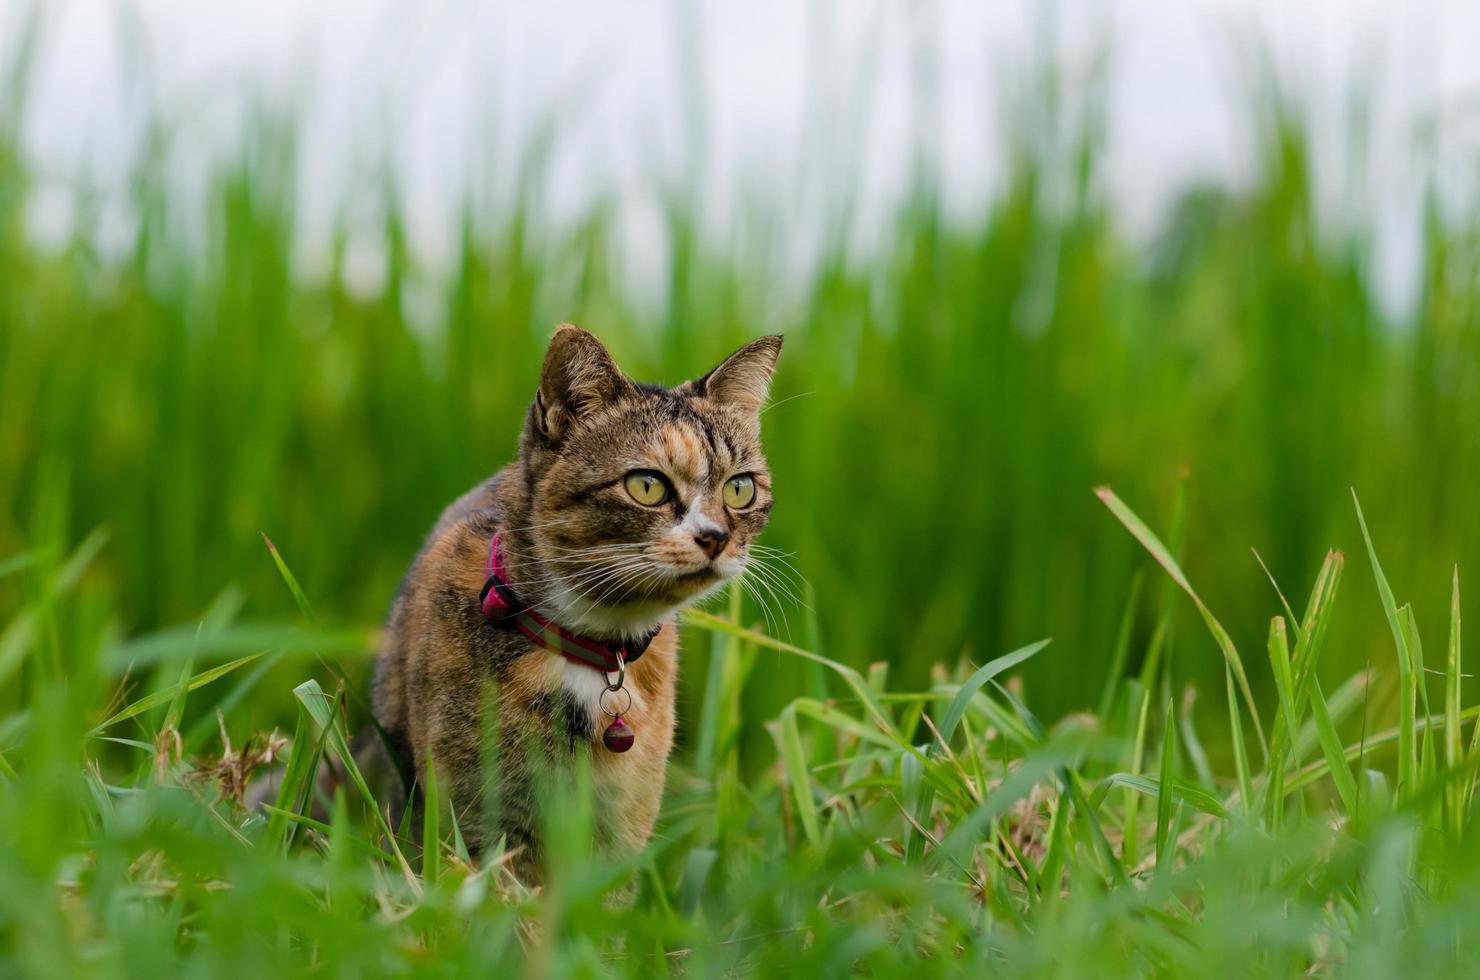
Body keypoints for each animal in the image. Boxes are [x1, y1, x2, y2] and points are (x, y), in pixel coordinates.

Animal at [370, 325, 781, 888]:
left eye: (739, 489)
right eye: (647, 485)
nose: (716, 536)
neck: (591, 646)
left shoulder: (621, 825)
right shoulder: (475, 814)